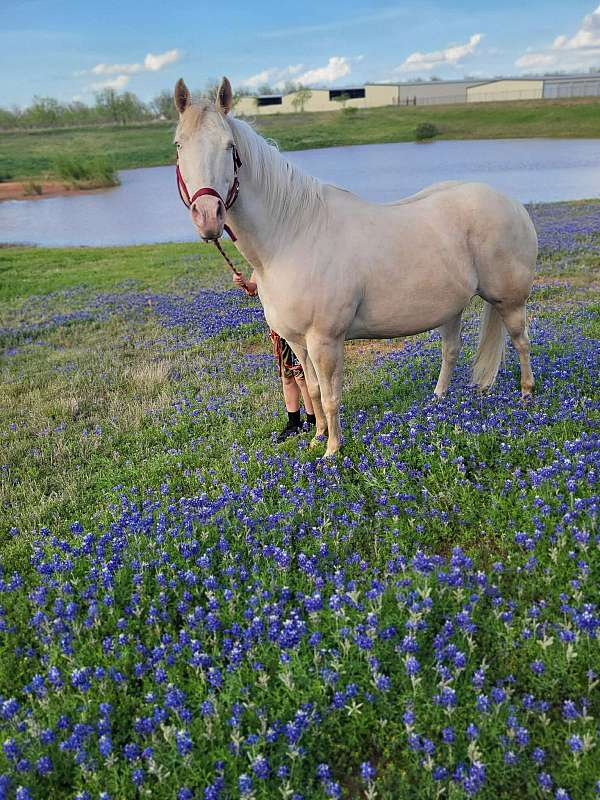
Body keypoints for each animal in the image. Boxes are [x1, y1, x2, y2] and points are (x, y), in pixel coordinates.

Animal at [173, 77, 538, 457]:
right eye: (179, 146)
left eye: (229, 146)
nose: (208, 216)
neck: (292, 235)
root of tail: (512, 204)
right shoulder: (299, 344)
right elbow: (313, 390)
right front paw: (317, 437)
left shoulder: (325, 341)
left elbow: (331, 396)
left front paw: (333, 450)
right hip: (451, 308)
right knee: (451, 350)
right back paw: (437, 399)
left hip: (509, 301)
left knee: (521, 341)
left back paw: (526, 393)